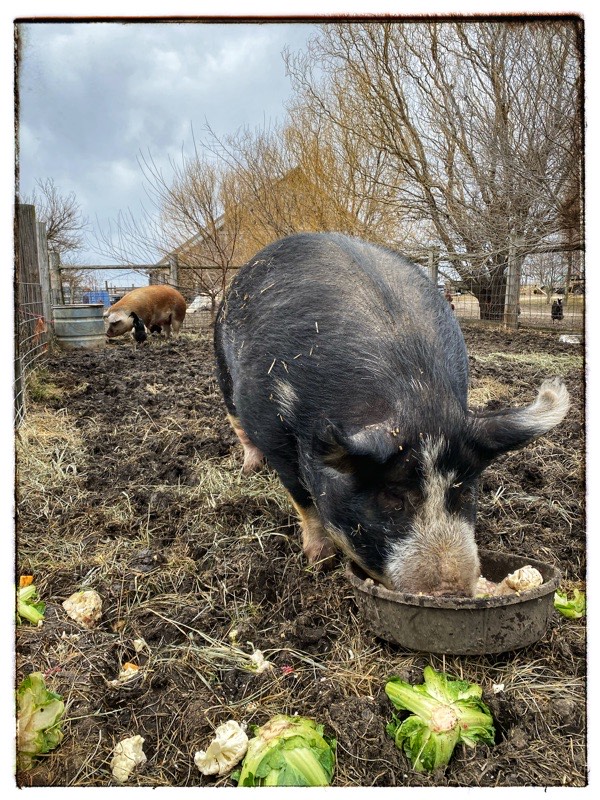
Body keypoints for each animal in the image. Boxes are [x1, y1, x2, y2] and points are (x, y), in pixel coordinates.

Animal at [214, 233, 569, 596]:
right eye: (392, 497)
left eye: (465, 491)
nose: (450, 591)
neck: (415, 395)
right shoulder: (270, 425)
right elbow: (303, 497)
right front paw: (319, 561)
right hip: (224, 369)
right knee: (236, 422)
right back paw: (250, 468)